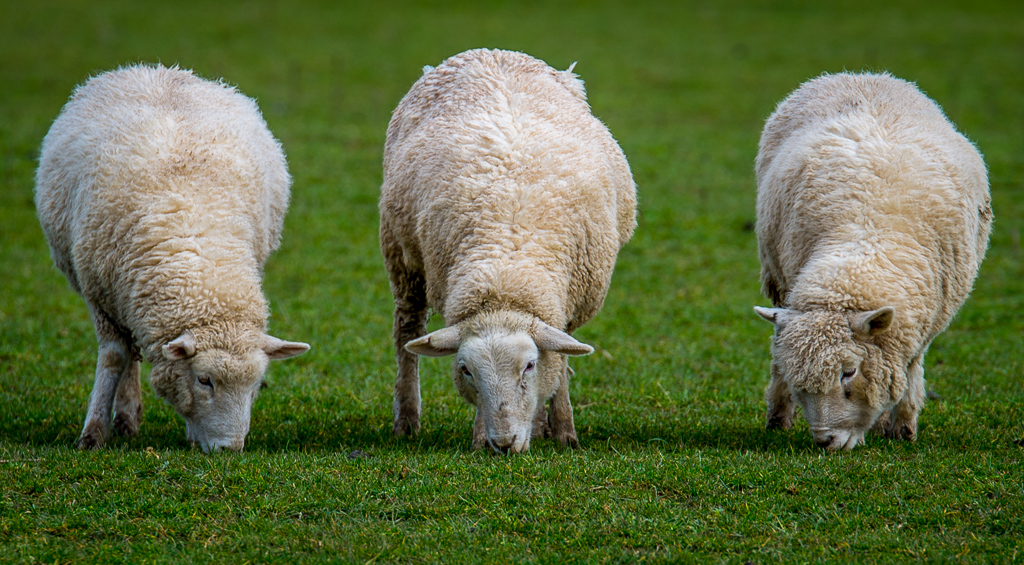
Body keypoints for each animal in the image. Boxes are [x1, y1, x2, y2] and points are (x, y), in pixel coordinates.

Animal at [36, 64, 309, 454]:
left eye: (257, 386)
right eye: (205, 380)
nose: (230, 449)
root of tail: (154, 69)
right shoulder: (100, 297)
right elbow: (114, 357)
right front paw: (93, 433)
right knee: (128, 352)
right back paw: (125, 415)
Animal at [380, 49, 634, 454]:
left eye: (528, 366)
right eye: (466, 369)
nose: (504, 443)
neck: (506, 272)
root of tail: (490, 53)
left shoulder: (567, 305)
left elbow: (561, 361)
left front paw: (563, 430)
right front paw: (480, 436)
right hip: (402, 258)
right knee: (407, 333)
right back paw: (406, 420)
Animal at [753, 71, 991, 450]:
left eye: (849, 372)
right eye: (800, 379)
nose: (825, 440)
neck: (865, 241)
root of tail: (861, 75)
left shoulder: (923, 321)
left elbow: (910, 367)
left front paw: (903, 427)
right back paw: (778, 418)